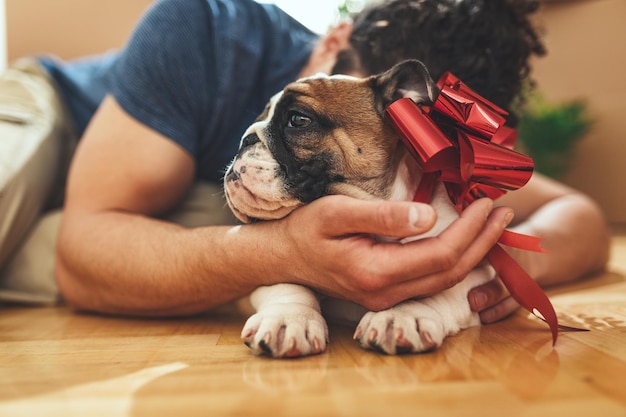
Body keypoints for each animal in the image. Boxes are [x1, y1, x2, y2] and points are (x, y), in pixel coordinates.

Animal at [223, 61, 492, 358]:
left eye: (299, 120)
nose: (245, 139)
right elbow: (288, 281)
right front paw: (290, 317)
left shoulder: (479, 272)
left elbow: (440, 287)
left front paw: (403, 314)